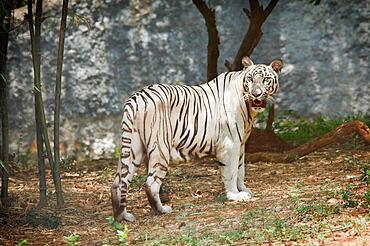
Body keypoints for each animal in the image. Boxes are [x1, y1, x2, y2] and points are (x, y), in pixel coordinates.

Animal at [111, 56, 282, 222]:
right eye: (251, 79)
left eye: (266, 79)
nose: (256, 94)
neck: (248, 107)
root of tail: (136, 97)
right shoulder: (230, 144)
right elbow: (232, 171)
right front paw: (234, 195)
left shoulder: (240, 145)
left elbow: (241, 170)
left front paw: (244, 190)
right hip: (160, 148)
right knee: (150, 183)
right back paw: (161, 210)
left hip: (134, 148)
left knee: (118, 181)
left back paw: (122, 217)